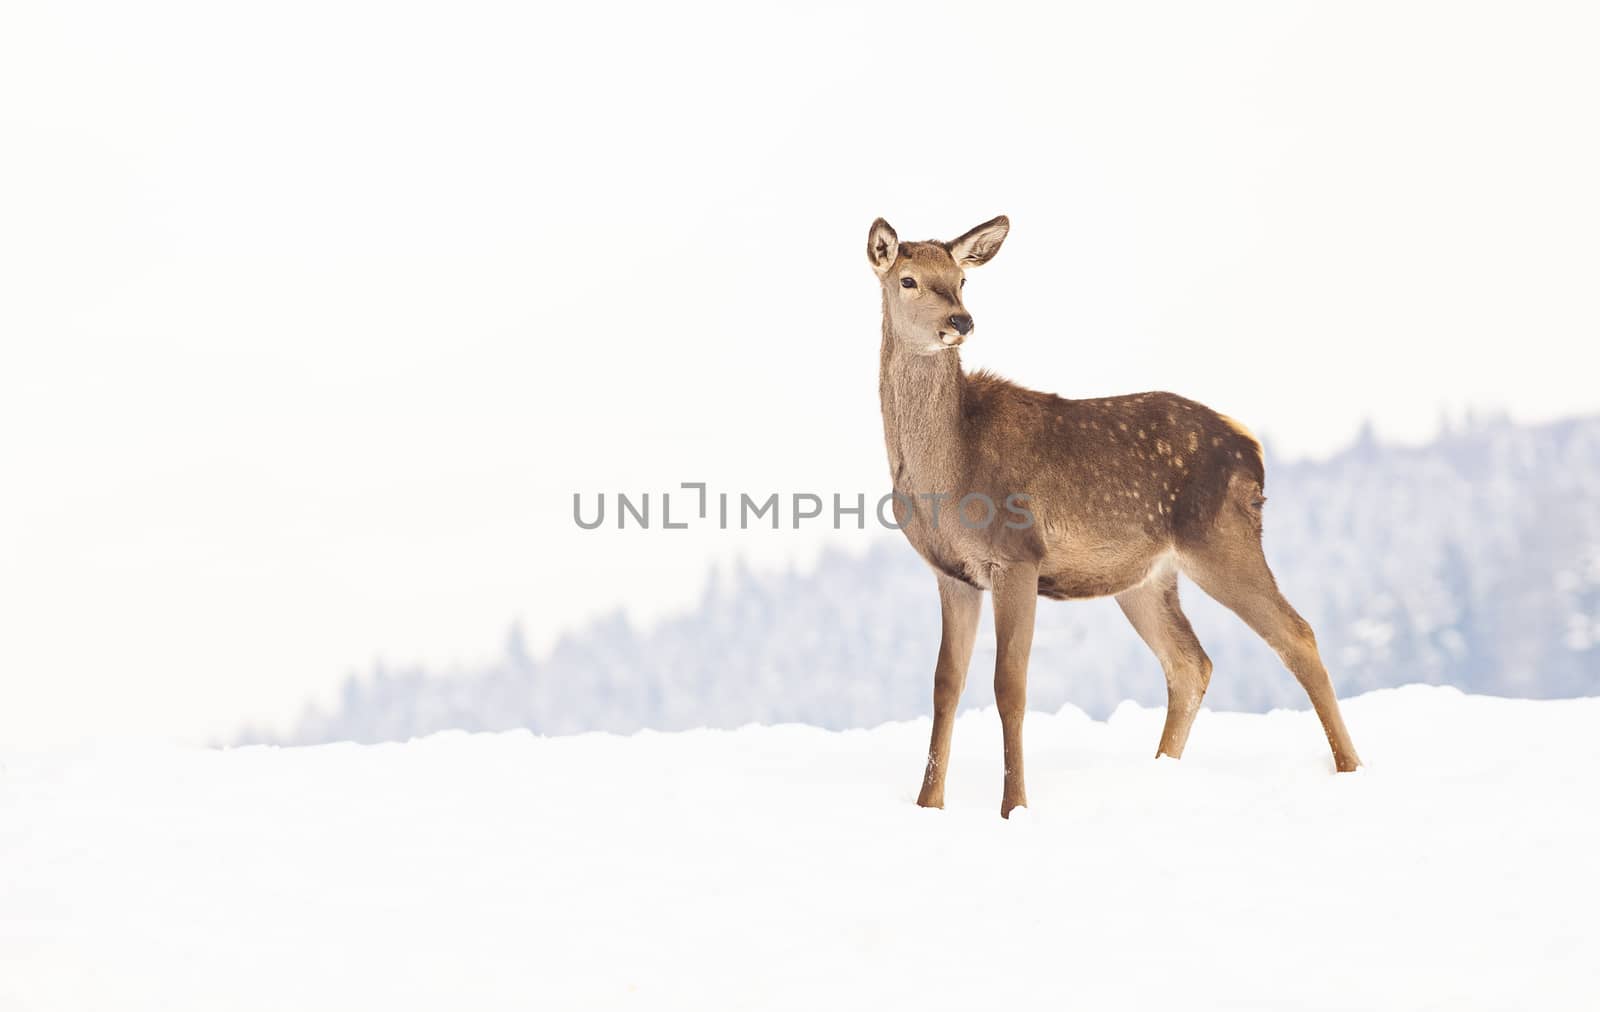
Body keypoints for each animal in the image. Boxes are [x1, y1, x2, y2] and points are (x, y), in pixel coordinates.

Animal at [870, 212, 1369, 813]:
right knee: (1189, 662)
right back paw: (1161, 773)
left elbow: (1009, 685)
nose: (960, 321)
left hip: (1222, 537)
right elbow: (946, 684)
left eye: (962, 280)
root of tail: (1251, 444)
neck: (947, 472)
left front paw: (1014, 807)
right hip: (1145, 578)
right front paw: (928, 805)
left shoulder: (1018, 555)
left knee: (1297, 635)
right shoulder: (953, 573)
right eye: (908, 280)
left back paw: (1350, 769)